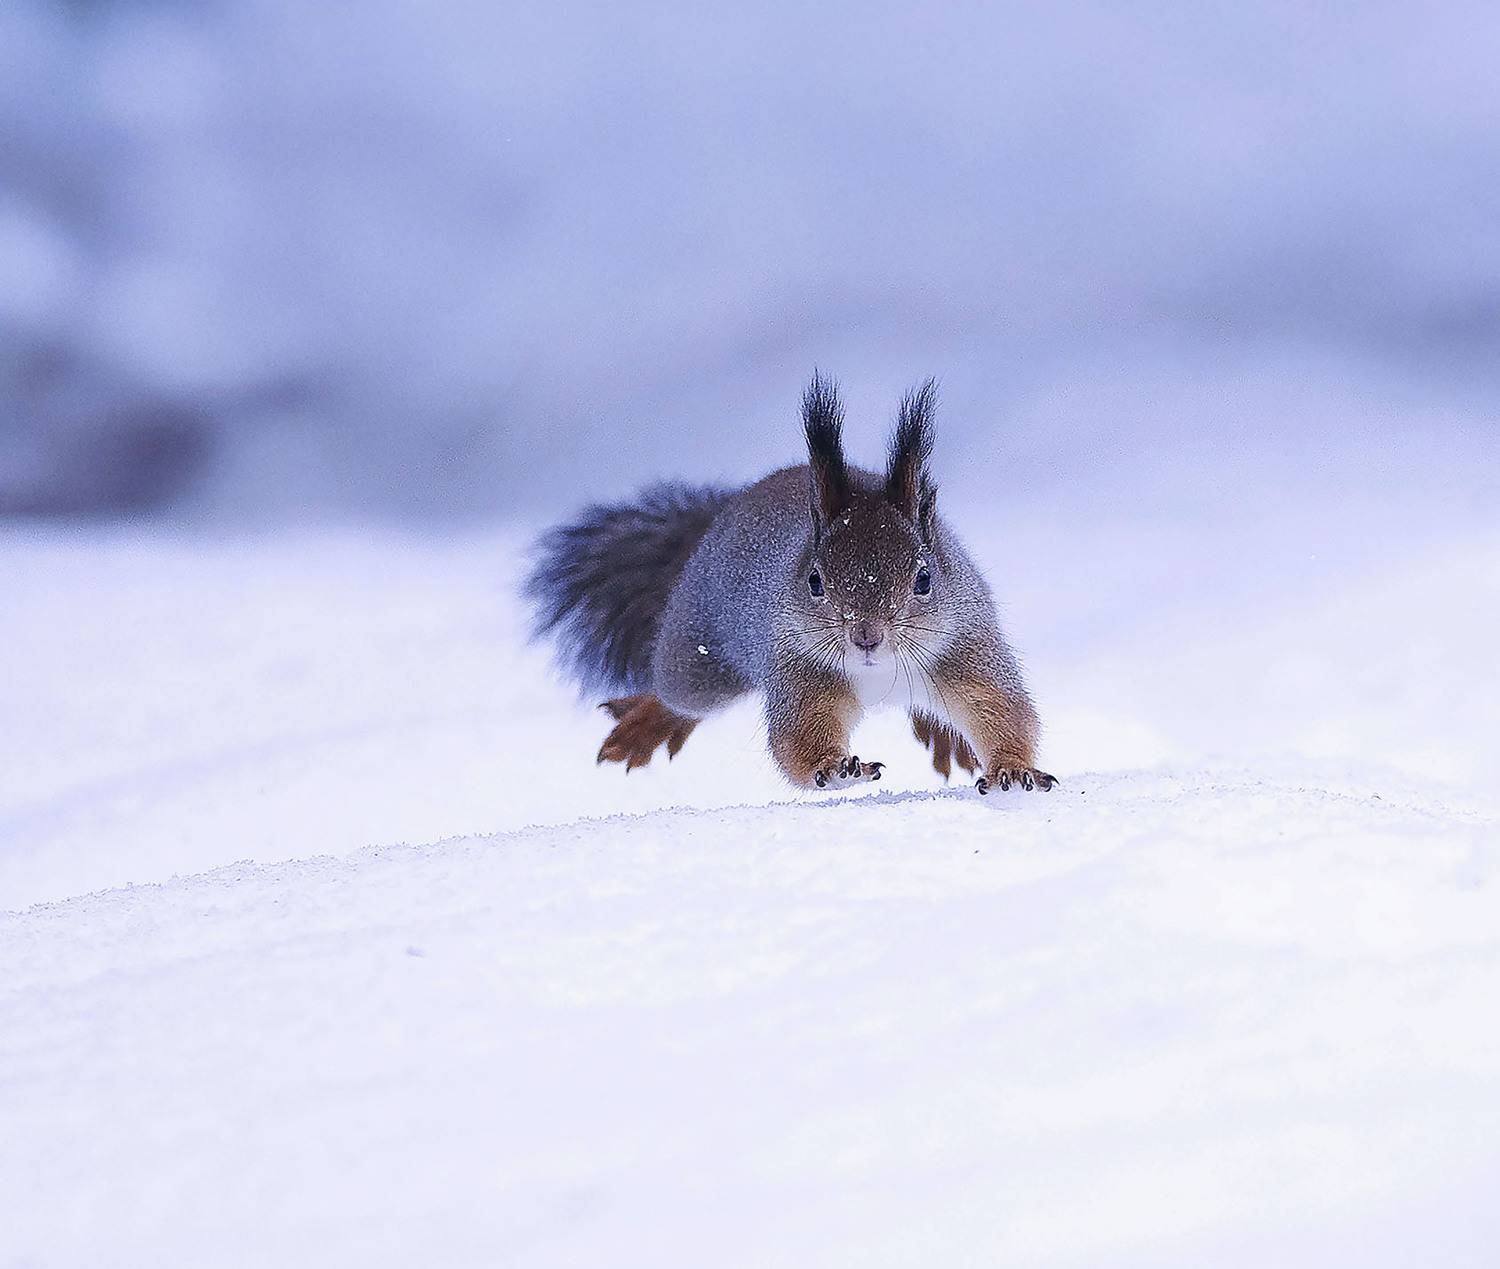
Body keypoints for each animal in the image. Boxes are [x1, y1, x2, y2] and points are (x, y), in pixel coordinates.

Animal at [527, 373, 1054, 795]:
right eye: (815, 582)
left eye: (924, 579)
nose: (866, 637)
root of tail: (718, 521)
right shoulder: (797, 666)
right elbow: (797, 739)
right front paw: (837, 767)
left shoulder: (967, 647)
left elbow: (1003, 711)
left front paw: (1012, 769)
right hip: (701, 658)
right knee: (676, 693)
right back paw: (645, 724)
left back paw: (946, 738)